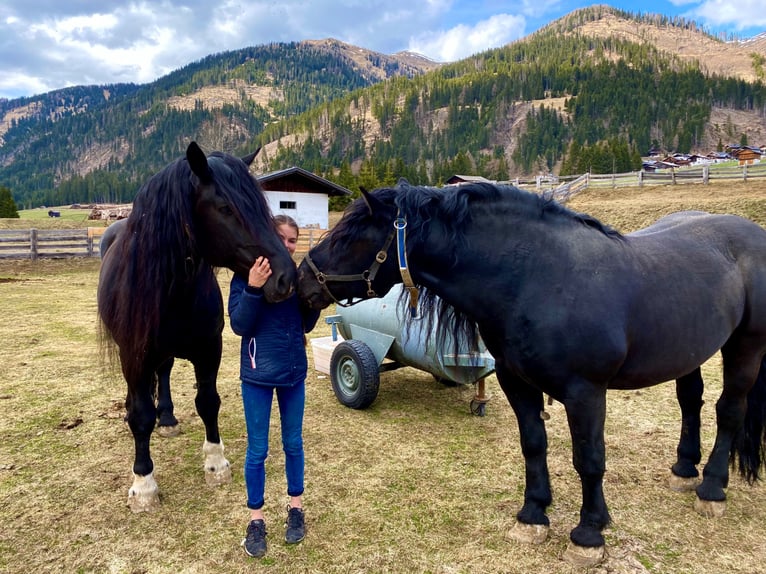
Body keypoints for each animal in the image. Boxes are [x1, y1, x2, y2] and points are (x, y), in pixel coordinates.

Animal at [100, 143, 296, 512]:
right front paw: (143, 485)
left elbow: (207, 401)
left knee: (163, 373)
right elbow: (140, 415)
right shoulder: (134, 355)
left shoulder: (209, 349)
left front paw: (216, 464)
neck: (173, 288)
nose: (285, 277)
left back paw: (167, 418)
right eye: (225, 208)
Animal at [298, 182, 766, 568]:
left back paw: (711, 489)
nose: (302, 280)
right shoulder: (515, 382)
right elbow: (533, 445)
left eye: (349, 236)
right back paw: (684, 470)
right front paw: (533, 515)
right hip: (689, 352)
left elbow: (589, 459)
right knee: (691, 402)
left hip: (745, 347)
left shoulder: (586, 393)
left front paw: (589, 533)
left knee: (730, 411)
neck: (537, 278)